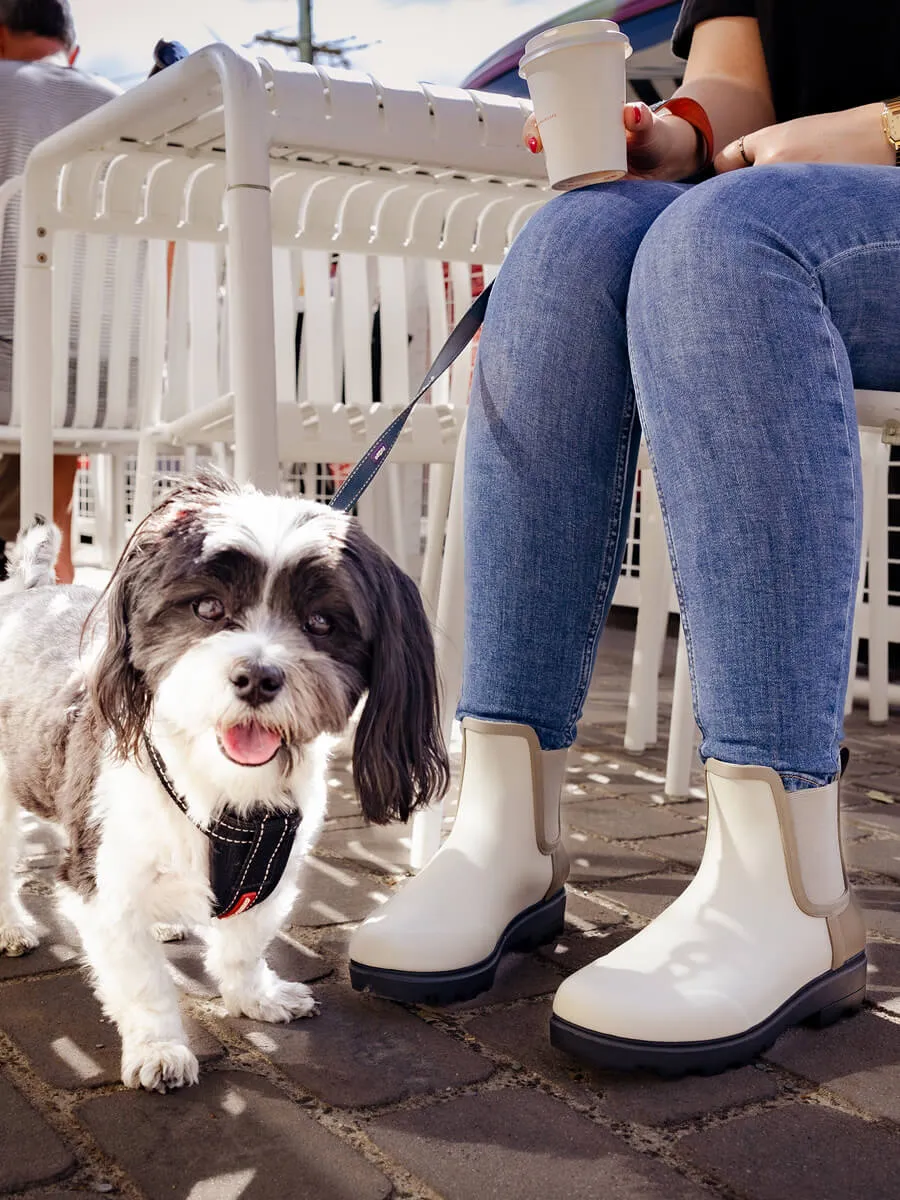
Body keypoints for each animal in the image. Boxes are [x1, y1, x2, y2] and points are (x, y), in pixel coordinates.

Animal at [0, 472, 448, 1094]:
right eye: (207, 607)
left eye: (321, 623)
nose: (257, 676)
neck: (225, 790)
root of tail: (26, 593)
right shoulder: (103, 881)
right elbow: (141, 980)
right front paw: (159, 1047)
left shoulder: (272, 872)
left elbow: (244, 942)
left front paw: (256, 997)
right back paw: (12, 927)